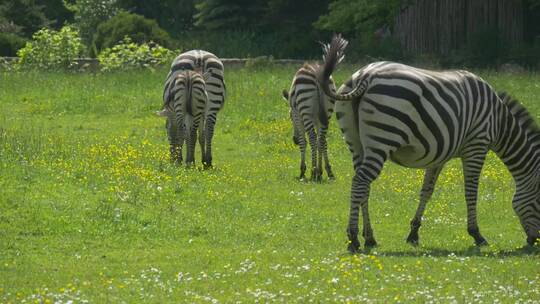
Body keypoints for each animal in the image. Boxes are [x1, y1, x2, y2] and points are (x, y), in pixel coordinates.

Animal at [318, 34, 540, 252]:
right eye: (539, 202)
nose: (534, 242)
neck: (499, 122)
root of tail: (366, 75)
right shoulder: (477, 145)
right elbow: (471, 191)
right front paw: (477, 235)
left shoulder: (440, 153)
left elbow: (427, 191)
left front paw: (413, 233)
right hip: (382, 140)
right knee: (360, 182)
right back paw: (354, 239)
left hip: (356, 143)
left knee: (364, 186)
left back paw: (370, 238)